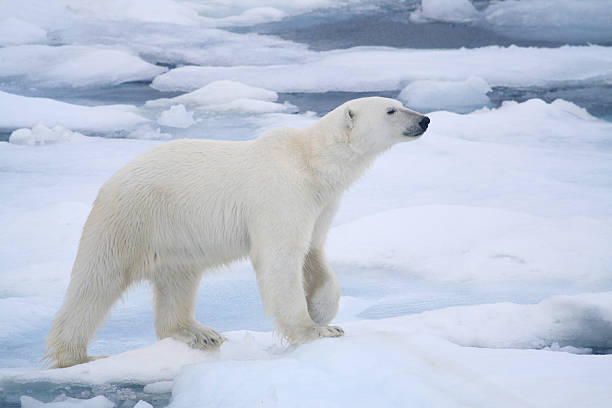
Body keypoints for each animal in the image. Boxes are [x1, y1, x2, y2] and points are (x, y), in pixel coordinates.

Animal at [45, 97, 428, 368]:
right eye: (392, 109)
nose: (424, 119)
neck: (311, 161)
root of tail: (110, 182)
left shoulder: (320, 202)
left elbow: (313, 252)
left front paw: (322, 311)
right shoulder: (281, 191)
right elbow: (280, 257)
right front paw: (315, 330)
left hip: (174, 237)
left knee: (178, 281)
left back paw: (198, 333)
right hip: (131, 219)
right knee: (97, 281)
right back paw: (77, 355)